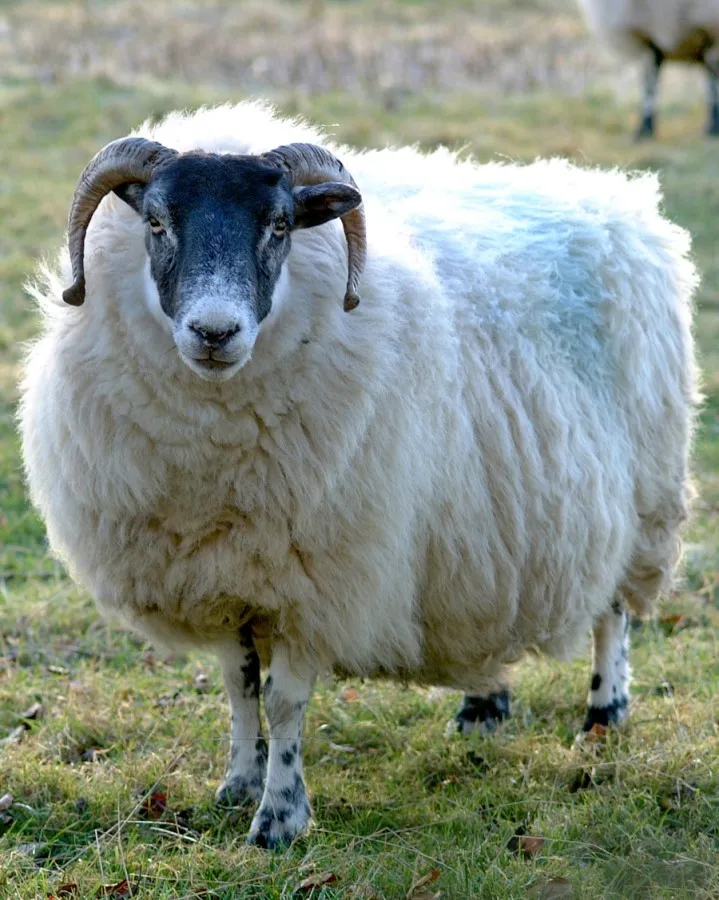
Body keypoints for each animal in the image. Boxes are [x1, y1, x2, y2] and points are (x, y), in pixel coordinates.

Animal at [19, 101, 698, 849]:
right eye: (156, 222)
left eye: (280, 226)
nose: (214, 333)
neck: (215, 473)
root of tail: (614, 195)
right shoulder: (223, 576)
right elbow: (239, 685)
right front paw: (238, 784)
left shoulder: (317, 582)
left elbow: (284, 702)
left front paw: (278, 821)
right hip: (490, 521)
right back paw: (481, 706)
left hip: (644, 489)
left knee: (614, 608)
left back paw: (604, 713)